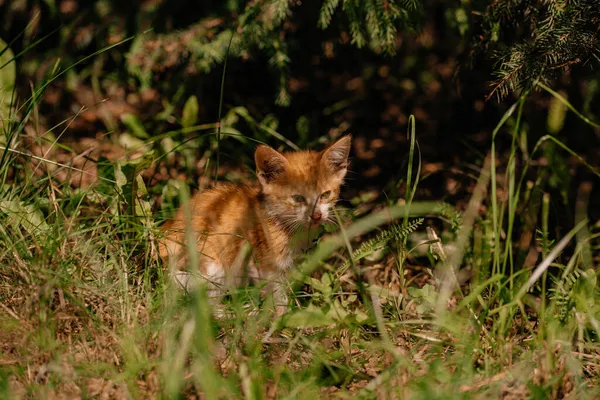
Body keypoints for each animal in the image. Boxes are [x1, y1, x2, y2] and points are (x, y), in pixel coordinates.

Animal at [158, 136, 352, 314]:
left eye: (325, 195)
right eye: (297, 198)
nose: (317, 215)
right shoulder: (263, 261)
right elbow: (276, 293)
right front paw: (282, 319)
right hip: (212, 264)